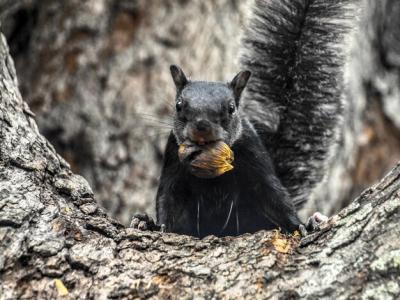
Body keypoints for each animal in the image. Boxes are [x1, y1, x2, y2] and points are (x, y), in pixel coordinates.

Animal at [130, 0, 350, 238]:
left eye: (231, 108)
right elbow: (167, 200)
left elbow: (278, 199)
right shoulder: (172, 159)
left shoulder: (255, 158)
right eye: (179, 105)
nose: (202, 126)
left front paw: (301, 225)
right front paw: (152, 224)